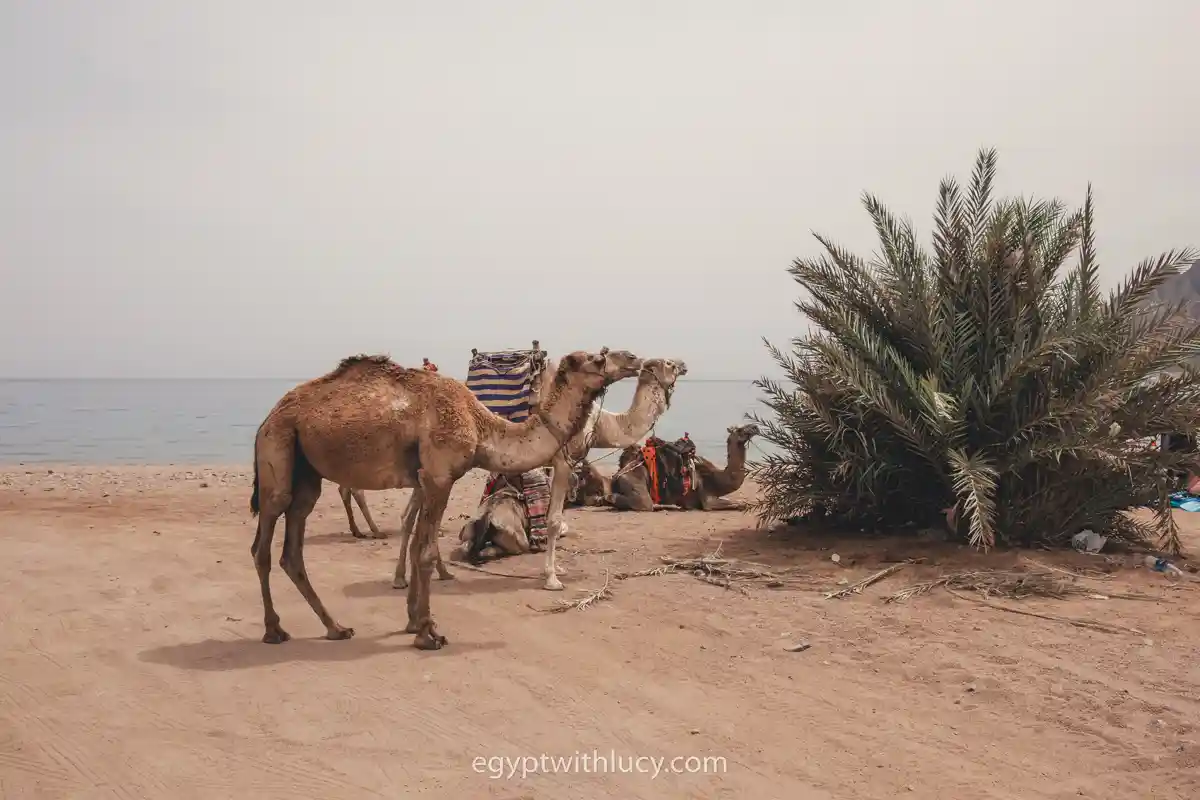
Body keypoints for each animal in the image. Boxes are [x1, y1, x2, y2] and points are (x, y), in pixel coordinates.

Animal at [248, 348, 640, 650]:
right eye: (599, 357)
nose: (634, 359)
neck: (481, 426)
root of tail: (268, 416)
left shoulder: (425, 479)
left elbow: (418, 543)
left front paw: (412, 621)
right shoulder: (439, 476)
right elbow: (425, 550)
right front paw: (428, 633)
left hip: (306, 473)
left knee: (292, 550)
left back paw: (336, 628)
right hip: (277, 451)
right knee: (263, 544)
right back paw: (274, 630)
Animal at [388, 357, 687, 589]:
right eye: (668, 363)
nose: (684, 364)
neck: (602, 424)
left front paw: (556, 568)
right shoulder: (563, 459)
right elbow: (554, 518)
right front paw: (552, 577)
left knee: (412, 514)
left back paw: (408, 576)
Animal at [609, 423, 760, 512]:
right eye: (740, 429)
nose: (755, 427)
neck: (717, 479)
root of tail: (618, 474)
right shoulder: (708, 499)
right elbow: (739, 504)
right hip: (635, 481)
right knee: (643, 503)